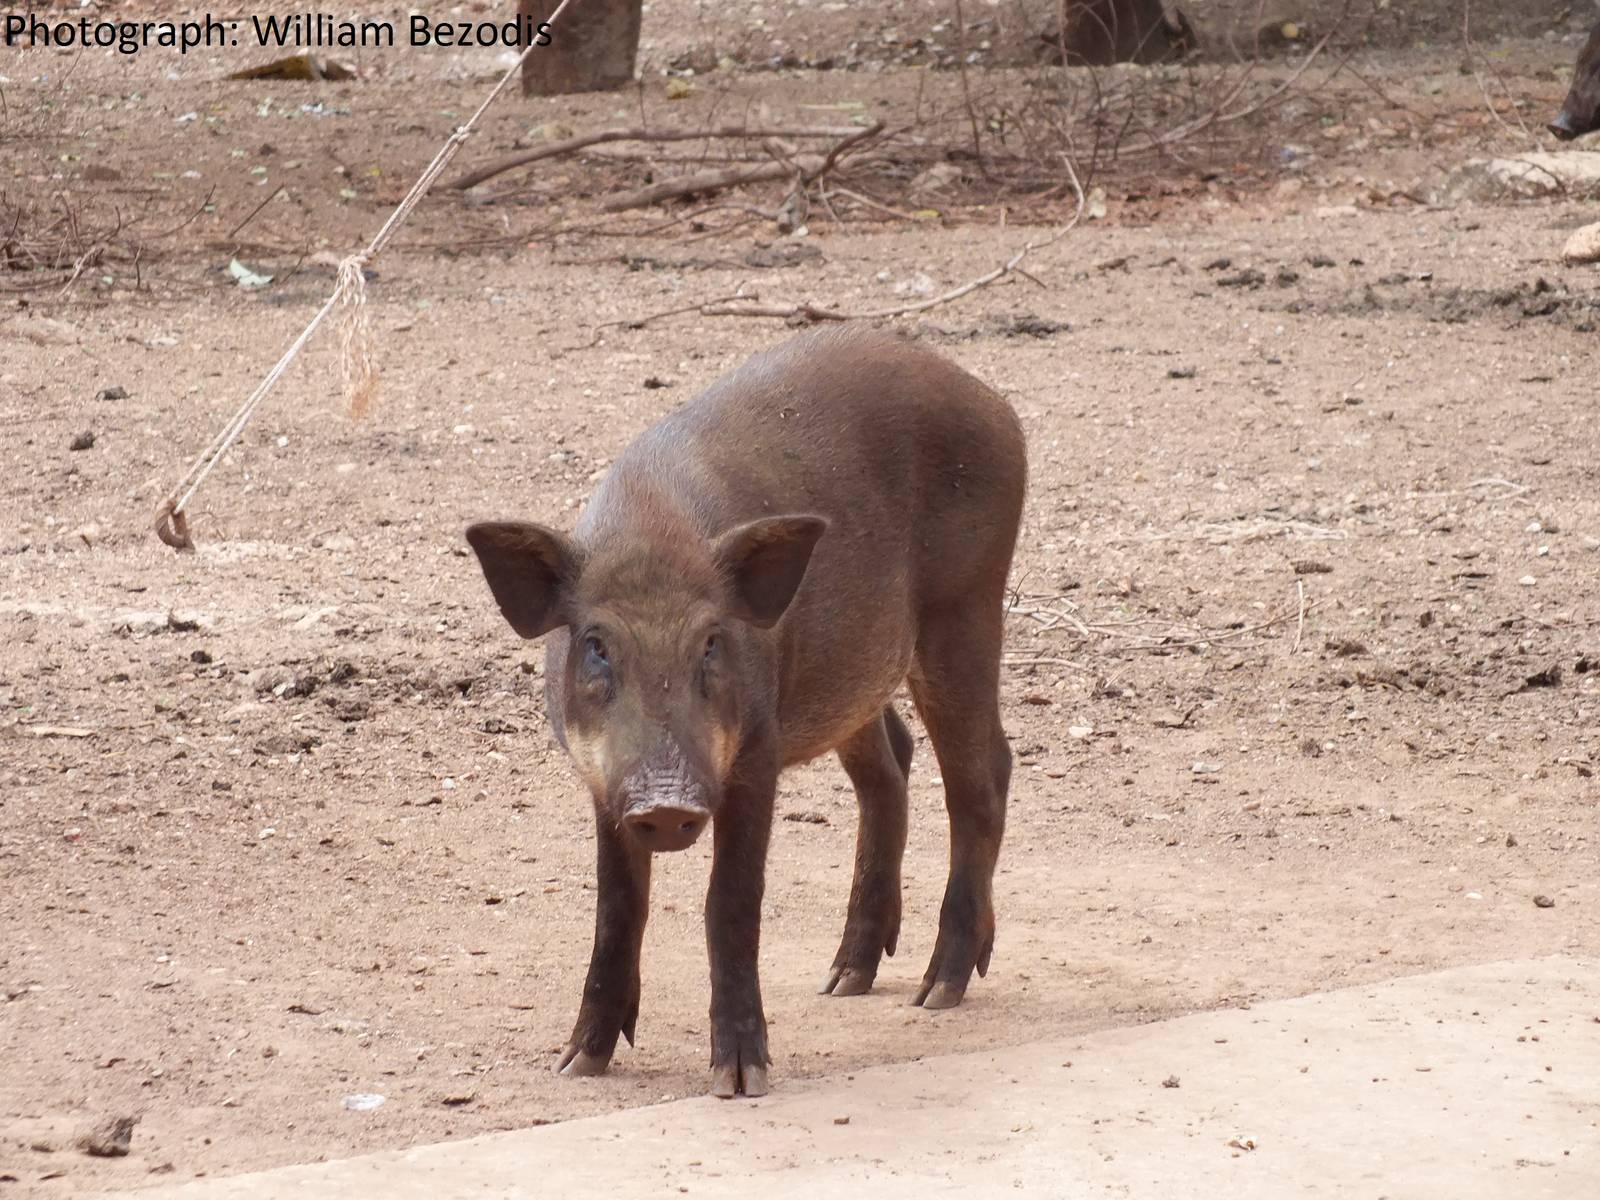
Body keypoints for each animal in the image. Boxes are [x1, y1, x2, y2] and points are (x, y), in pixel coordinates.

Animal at [465, 324, 1025, 1098]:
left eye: (711, 641)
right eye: (596, 644)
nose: (667, 803)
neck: (652, 531)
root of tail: (995, 405)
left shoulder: (757, 748)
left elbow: (729, 902)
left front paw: (740, 1080)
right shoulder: (602, 779)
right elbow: (617, 906)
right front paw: (579, 1062)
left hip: (966, 606)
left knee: (983, 773)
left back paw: (936, 991)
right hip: (857, 671)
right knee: (893, 764)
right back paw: (845, 979)